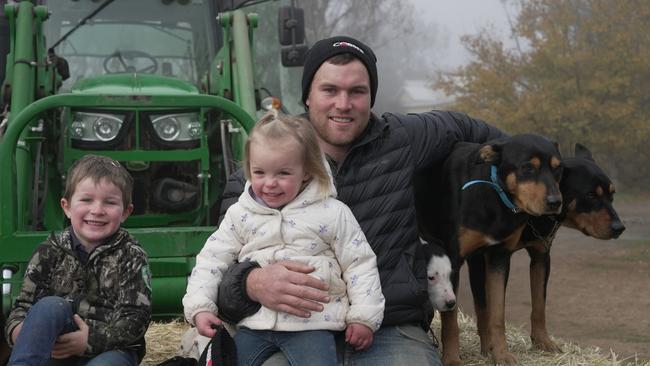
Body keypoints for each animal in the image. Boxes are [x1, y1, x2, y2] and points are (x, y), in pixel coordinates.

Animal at [466, 142, 624, 358]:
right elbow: (484, 308)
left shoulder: (541, 257)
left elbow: (539, 304)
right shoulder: (479, 259)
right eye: (591, 195)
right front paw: (489, 348)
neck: (533, 218)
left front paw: (542, 341)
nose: (620, 228)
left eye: (612, 195)